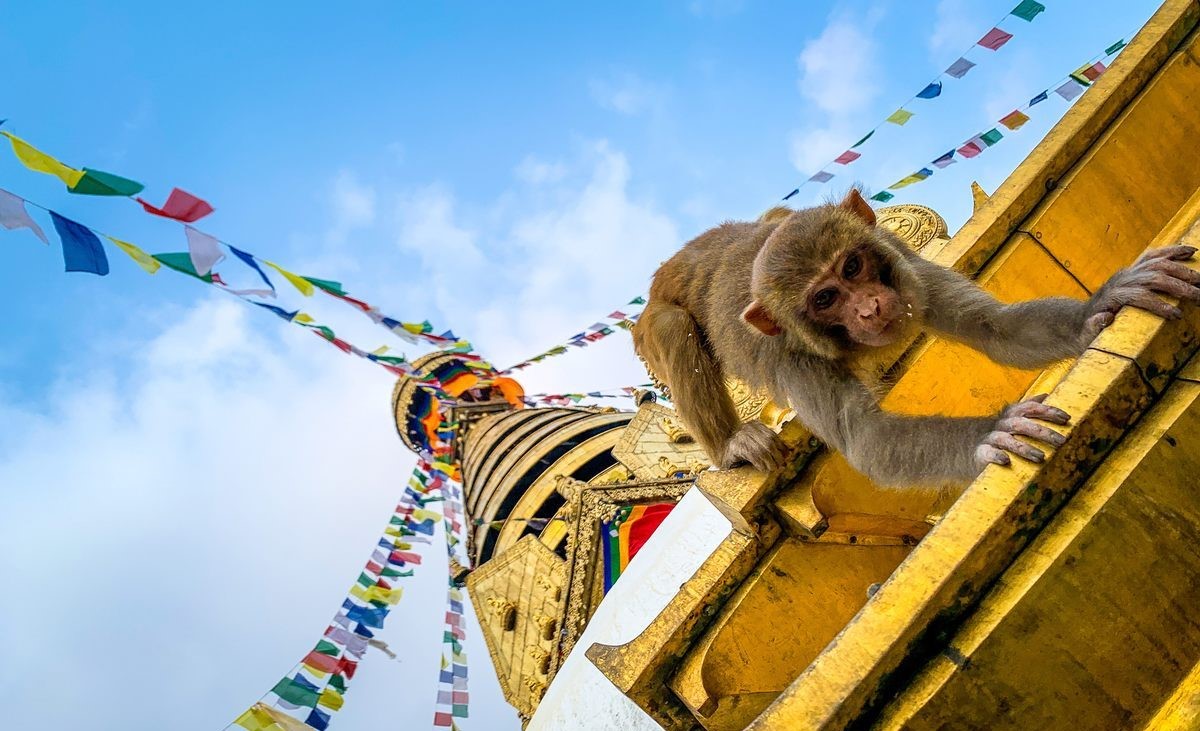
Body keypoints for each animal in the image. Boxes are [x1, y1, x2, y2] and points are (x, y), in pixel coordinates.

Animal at [633, 188, 1195, 484]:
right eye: (824, 299)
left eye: (852, 266)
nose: (869, 307)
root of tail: (678, 259)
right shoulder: (798, 359)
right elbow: (869, 439)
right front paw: (987, 436)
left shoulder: (905, 270)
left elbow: (994, 328)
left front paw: (1098, 308)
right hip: (649, 326)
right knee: (672, 326)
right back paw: (733, 444)